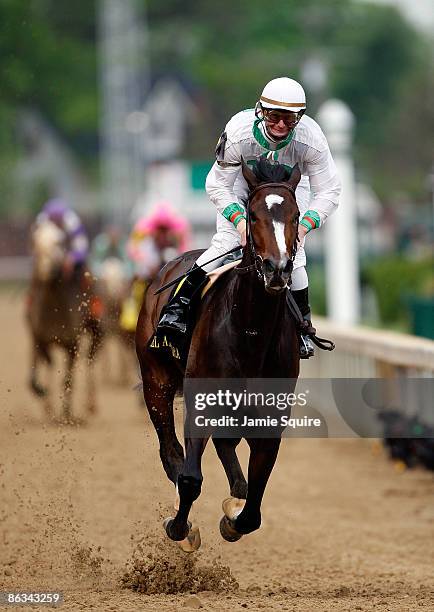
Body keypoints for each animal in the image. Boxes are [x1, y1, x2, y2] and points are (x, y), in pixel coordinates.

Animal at [136, 160, 302, 552]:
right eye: (252, 215)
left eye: (297, 215)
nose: (277, 269)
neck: (250, 328)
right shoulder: (201, 394)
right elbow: (189, 477)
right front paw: (181, 529)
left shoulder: (271, 411)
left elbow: (255, 498)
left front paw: (234, 518)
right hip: (155, 379)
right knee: (171, 453)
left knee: (226, 445)